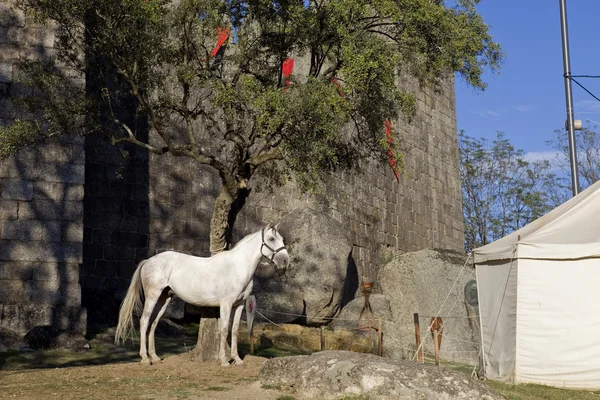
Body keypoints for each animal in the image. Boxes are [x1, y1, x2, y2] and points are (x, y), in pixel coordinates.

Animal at [116, 223, 290, 368]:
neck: (237, 267)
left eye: (282, 239)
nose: (285, 261)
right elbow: (224, 329)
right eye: (271, 238)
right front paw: (224, 361)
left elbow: (234, 330)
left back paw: (155, 357)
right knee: (144, 321)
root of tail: (148, 261)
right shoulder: (226, 304)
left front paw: (237, 359)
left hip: (164, 299)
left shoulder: (239, 305)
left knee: (153, 323)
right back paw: (145, 359)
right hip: (153, 296)